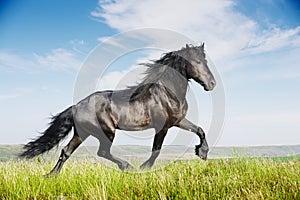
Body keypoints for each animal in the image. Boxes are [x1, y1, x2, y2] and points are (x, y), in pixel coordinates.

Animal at [19, 43, 216, 173]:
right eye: (197, 62)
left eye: (205, 61)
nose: (212, 84)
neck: (167, 92)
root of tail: (76, 106)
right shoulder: (163, 126)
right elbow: (156, 150)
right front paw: (144, 168)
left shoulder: (178, 121)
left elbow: (199, 130)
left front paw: (202, 153)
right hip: (106, 131)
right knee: (103, 152)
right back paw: (127, 166)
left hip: (81, 133)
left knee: (66, 152)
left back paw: (51, 176)